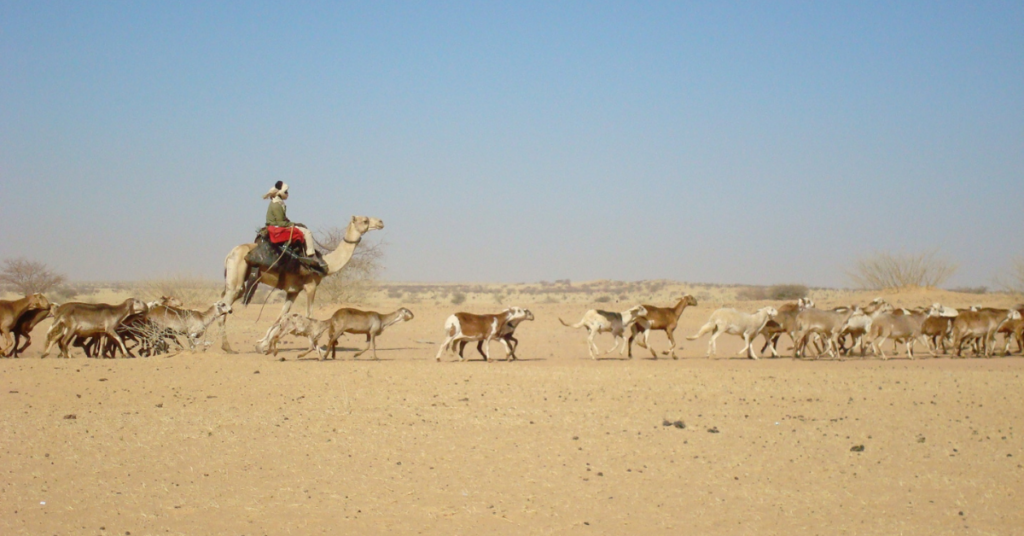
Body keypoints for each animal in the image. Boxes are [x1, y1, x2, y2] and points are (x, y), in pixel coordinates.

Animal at [219, 214, 385, 352]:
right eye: (365, 220)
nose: (380, 222)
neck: (326, 264)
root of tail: (229, 254)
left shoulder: (293, 291)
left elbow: (281, 316)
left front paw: (262, 344)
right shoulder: (311, 286)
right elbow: (309, 315)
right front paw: (316, 347)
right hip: (237, 278)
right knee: (223, 307)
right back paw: (227, 347)